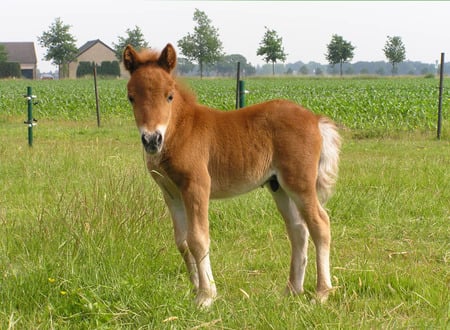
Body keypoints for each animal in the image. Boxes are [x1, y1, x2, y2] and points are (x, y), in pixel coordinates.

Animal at [123, 43, 342, 306]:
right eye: (131, 97)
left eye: (169, 96)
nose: (152, 139)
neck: (179, 130)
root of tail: (315, 119)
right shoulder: (171, 193)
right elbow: (182, 241)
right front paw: (195, 288)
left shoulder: (197, 186)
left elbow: (198, 239)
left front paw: (206, 296)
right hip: (278, 186)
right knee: (298, 229)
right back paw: (291, 290)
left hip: (299, 183)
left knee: (320, 223)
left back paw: (321, 293)